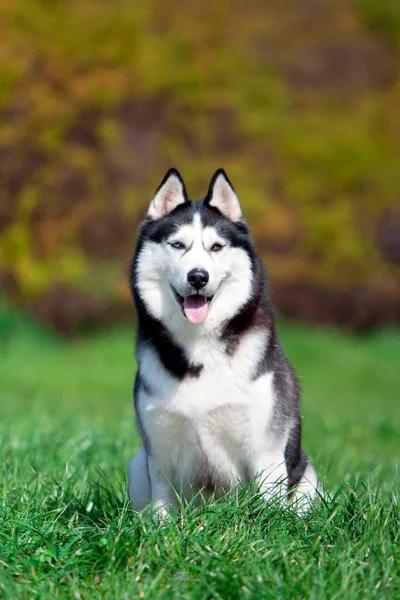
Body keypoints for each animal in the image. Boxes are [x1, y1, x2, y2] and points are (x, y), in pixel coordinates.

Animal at [130, 169, 318, 516]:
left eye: (216, 247)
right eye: (178, 244)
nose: (198, 276)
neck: (200, 346)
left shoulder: (266, 449)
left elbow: (266, 507)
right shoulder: (160, 450)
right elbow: (162, 509)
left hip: (306, 476)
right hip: (137, 462)